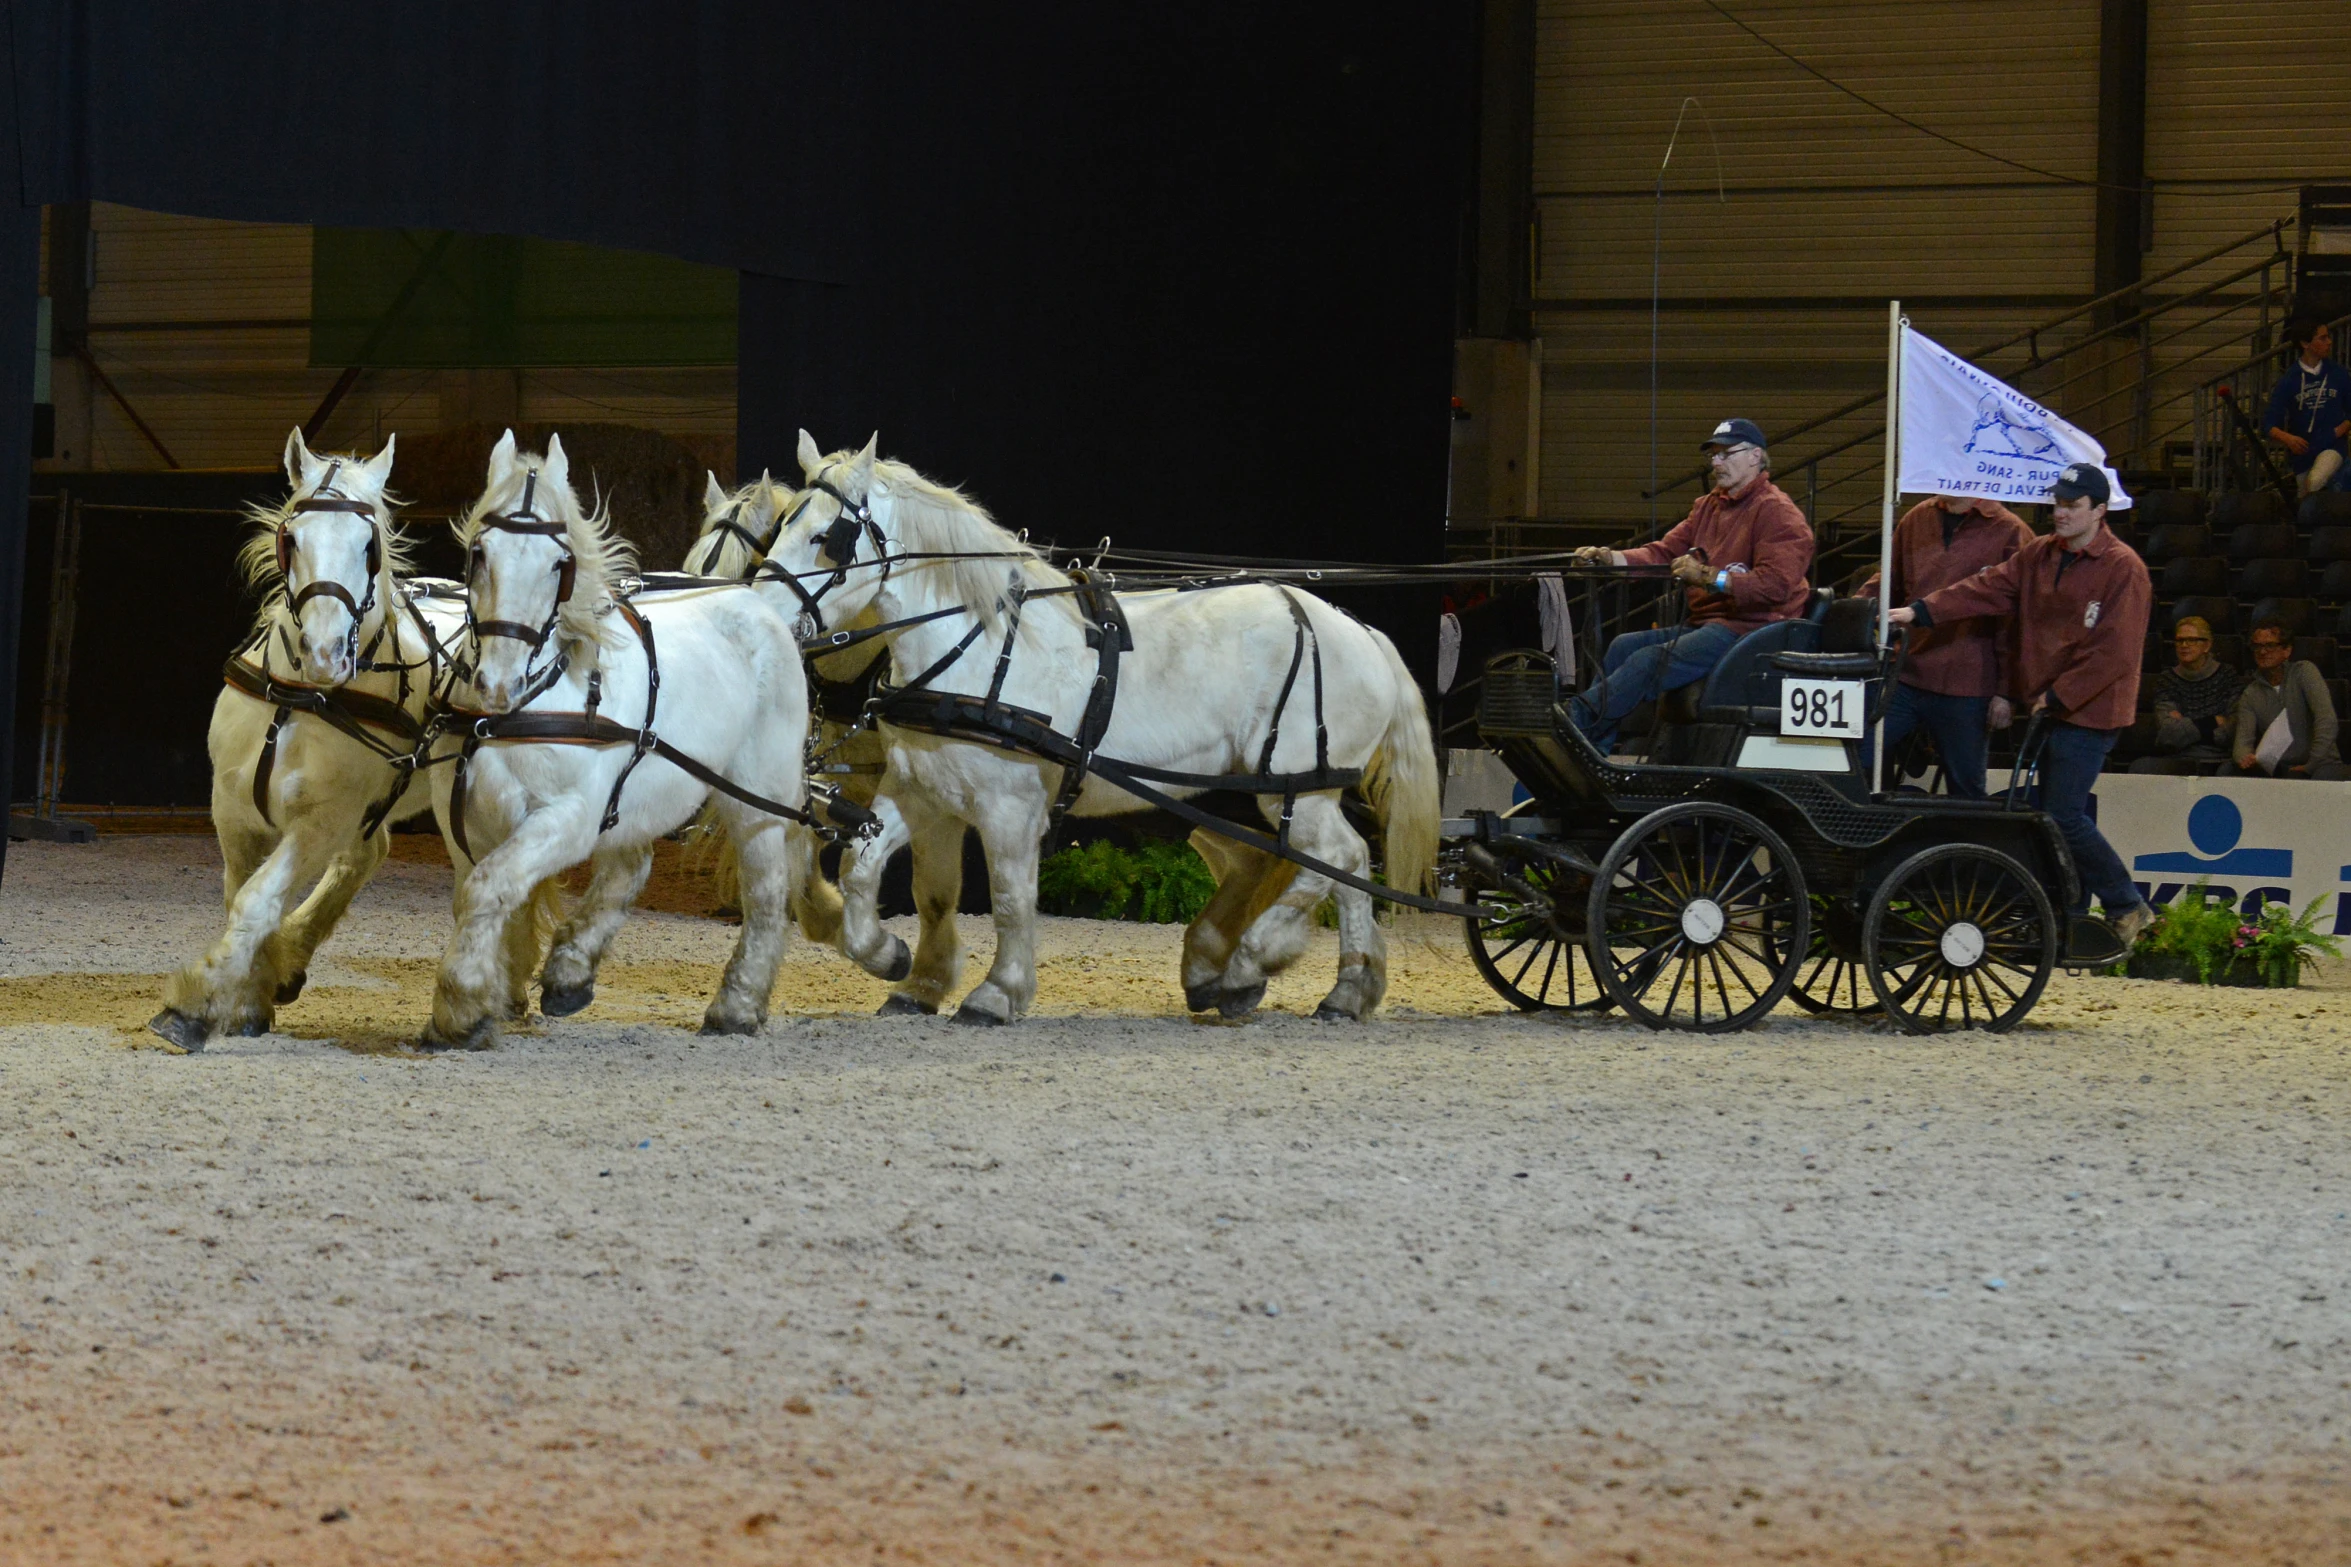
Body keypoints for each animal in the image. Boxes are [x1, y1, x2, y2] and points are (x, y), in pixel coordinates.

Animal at [150, 429, 467, 1052]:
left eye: (370, 546)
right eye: (291, 539)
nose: (325, 652)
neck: (301, 699)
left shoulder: (322, 820)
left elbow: (258, 901)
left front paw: (195, 1006)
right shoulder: (233, 812)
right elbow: (243, 899)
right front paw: (255, 990)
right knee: (368, 855)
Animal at [423, 434, 818, 1047]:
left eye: (560, 564)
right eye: (479, 553)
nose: (497, 683)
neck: (523, 709)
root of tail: (757, 605)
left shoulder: (570, 816)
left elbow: (486, 890)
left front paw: (461, 1006)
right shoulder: (463, 820)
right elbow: (484, 896)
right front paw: (492, 994)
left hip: (757, 795)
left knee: (766, 890)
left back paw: (737, 1005)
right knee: (631, 864)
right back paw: (570, 972)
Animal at [761, 432, 1438, 1029]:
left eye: (827, 537)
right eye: (781, 526)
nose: (763, 614)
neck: (978, 646)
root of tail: (1358, 630)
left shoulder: (1011, 807)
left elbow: (1011, 899)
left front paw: (997, 994)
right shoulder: (922, 792)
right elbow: (862, 869)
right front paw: (890, 960)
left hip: (1298, 786)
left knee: (1338, 858)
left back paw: (1252, 969)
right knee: (1345, 867)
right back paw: (1345, 990)